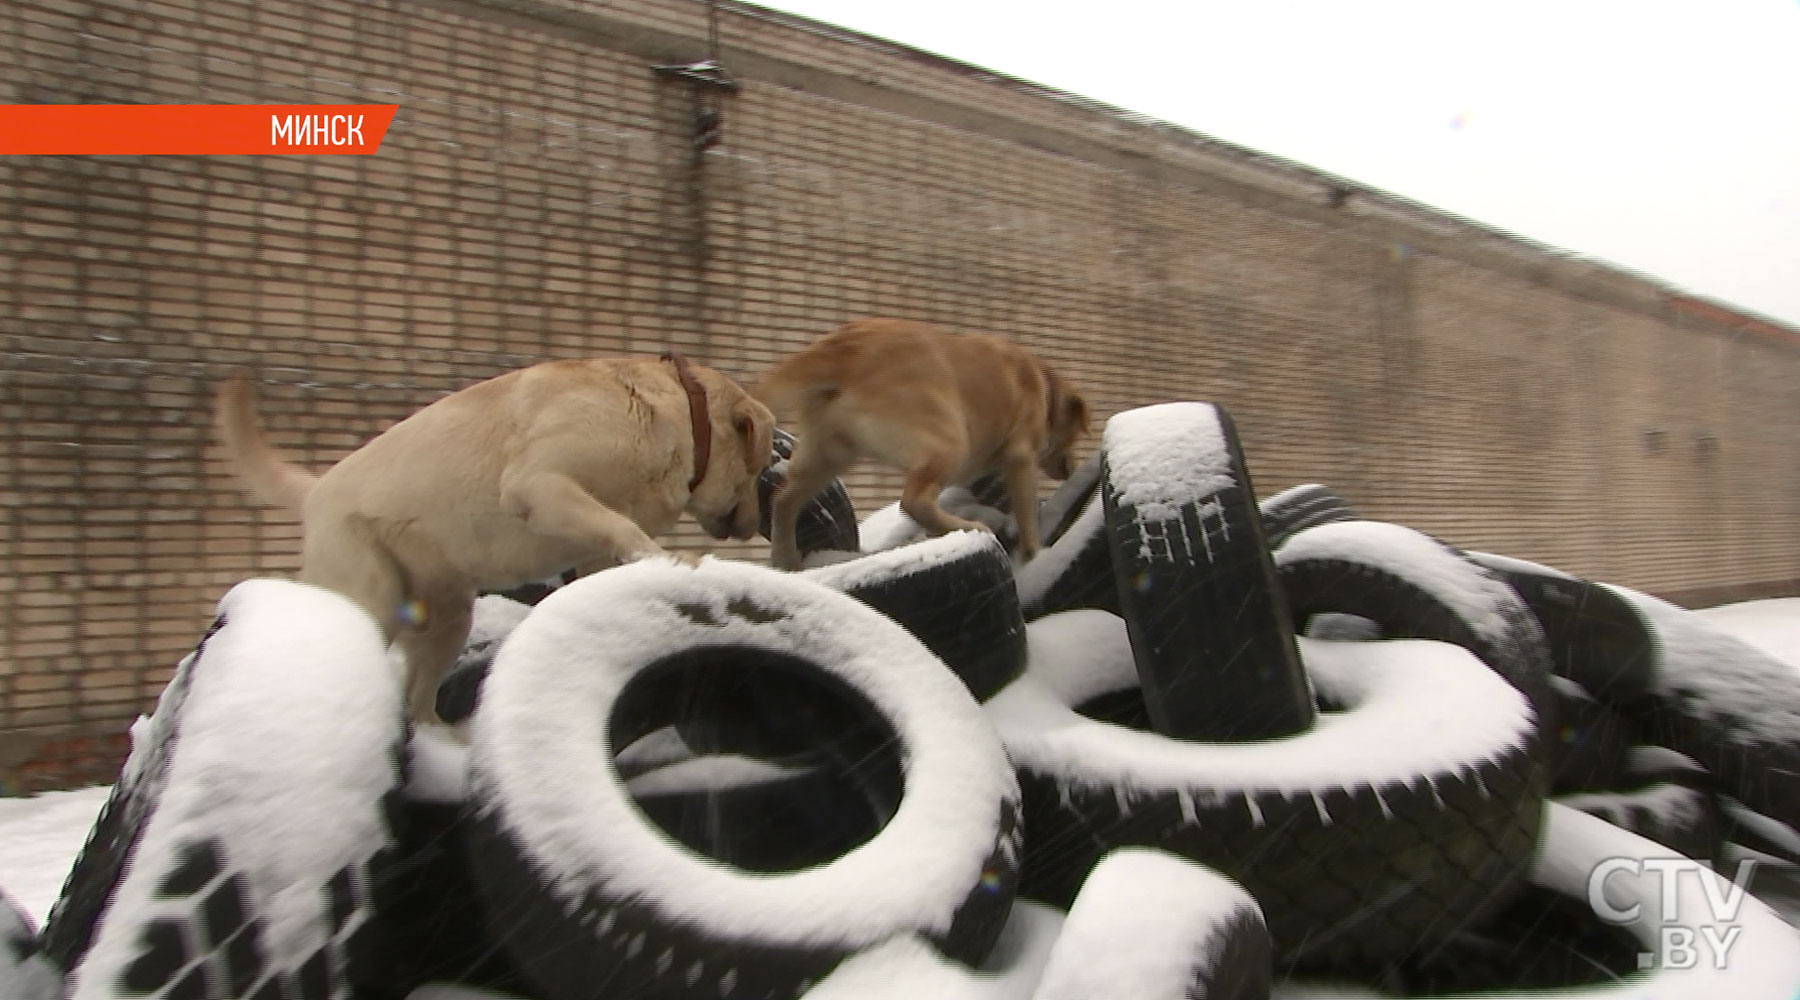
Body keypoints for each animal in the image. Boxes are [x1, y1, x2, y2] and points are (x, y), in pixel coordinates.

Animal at [214, 356, 777, 723]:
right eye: (758, 469)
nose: (755, 525)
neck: (675, 413)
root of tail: (314, 491)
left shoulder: (590, 544)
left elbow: (610, 543)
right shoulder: (539, 485)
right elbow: (623, 527)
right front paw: (668, 559)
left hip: (449, 621)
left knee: (418, 704)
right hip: (374, 593)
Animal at [756, 320, 1087, 571]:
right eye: (1075, 435)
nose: (1072, 468)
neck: (1045, 387)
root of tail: (847, 347)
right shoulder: (1021, 458)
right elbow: (1027, 514)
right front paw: (1034, 553)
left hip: (829, 456)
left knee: (783, 500)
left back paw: (785, 558)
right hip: (951, 442)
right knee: (913, 500)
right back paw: (966, 526)